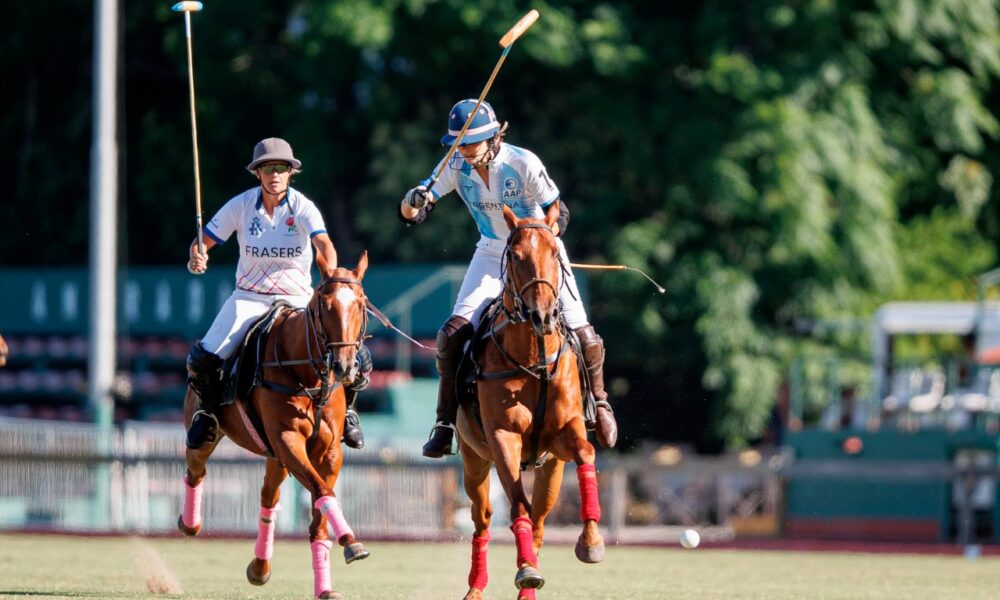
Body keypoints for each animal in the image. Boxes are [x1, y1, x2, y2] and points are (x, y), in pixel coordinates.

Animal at [179, 252, 372, 600]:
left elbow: (319, 517)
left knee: (268, 497)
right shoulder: (287, 439)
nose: (345, 366)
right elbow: (323, 491)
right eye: (324, 304)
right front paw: (351, 542)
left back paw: (259, 568)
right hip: (213, 434)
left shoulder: (328, 451)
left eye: (360, 303)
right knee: (196, 467)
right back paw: (190, 523)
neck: (307, 374)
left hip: (275, 456)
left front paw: (327, 586)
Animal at [458, 205, 604, 600]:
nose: (543, 315)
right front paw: (525, 570)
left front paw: (591, 542)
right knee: (484, 519)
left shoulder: (564, 435)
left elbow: (586, 452)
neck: (534, 359)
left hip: (551, 469)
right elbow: (516, 508)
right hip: (473, 458)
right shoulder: (502, 438)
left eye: (555, 253)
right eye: (517, 257)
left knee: (538, 521)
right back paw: (478, 588)